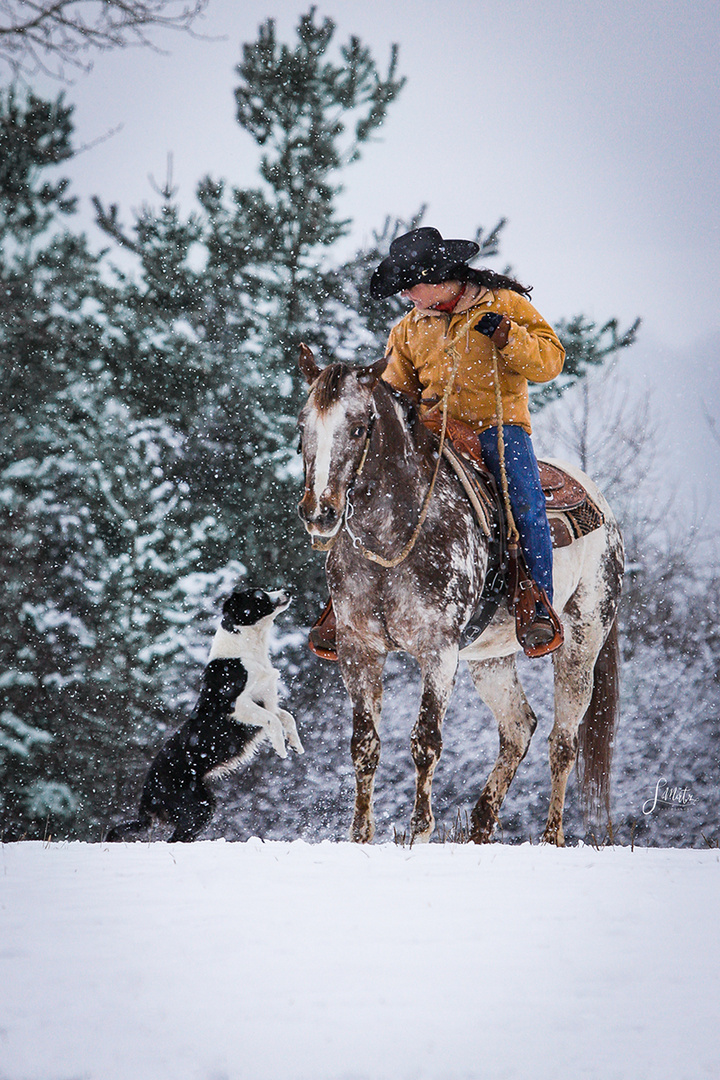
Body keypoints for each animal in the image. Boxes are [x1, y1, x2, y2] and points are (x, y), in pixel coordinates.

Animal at [105, 591, 302, 842]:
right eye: (258, 595)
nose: (287, 592)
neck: (247, 648)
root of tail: (147, 795)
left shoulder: (268, 700)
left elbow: (286, 717)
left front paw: (295, 744)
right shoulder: (236, 705)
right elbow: (273, 719)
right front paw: (280, 748)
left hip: (201, 803)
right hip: (197, 806)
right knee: (175, 838)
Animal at [295, 345, 621, 842]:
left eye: (357, 427)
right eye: (302, 427)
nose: (319, 512)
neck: (393, 536)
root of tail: (603, 507)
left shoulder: (438, 649)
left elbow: (425, 740)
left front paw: (419, 833)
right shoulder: (359, 649)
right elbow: (364, 744)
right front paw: (360, 836)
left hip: (583, 641)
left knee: (562, 743)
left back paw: (552, 838)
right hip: (490, 659)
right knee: (519, 727)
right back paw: (480, 829)